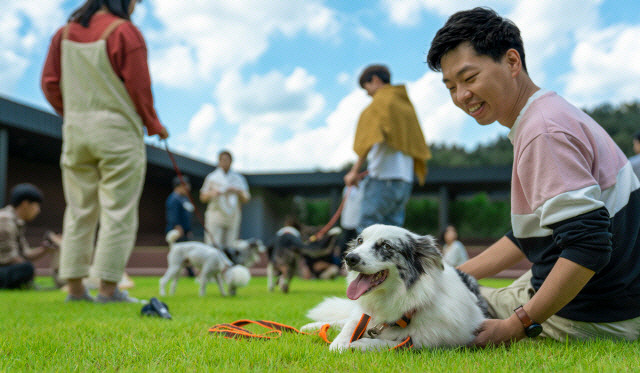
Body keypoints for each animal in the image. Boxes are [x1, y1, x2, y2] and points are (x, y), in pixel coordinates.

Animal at [302, 224, 488, 352]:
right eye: (360, 241)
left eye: (386, 246)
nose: (349, 258)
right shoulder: (364, 316)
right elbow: (350, 325)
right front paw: (339, 343)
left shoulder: (426, 342)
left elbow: (386, 342)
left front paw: (360, 344)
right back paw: (312, 327)